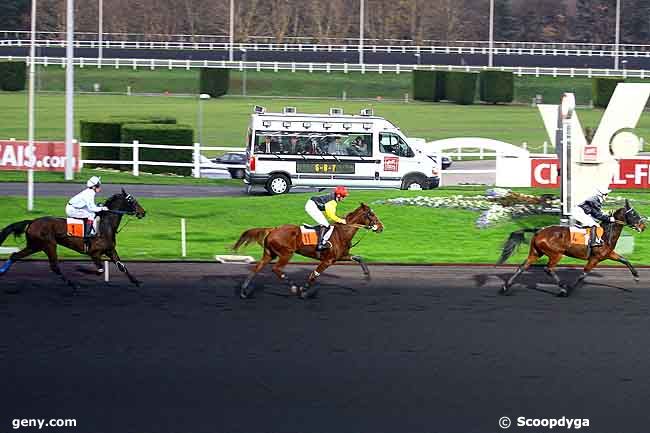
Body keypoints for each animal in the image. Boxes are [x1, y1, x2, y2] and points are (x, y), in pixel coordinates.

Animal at [0, 189, 146, 290]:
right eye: (132, 201)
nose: (143, 212)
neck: (105, 225)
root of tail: (32, 222)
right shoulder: (94, 253)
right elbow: (100, 270)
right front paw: (83, 270)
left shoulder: (110, 250)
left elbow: (122, 267)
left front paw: (136, 281)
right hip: (49, 245)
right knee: (54, 266)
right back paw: (72, 284)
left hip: (35, 246)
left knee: (14, 255)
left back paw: (2, 271)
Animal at [232, 202, 380, 296]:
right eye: (371, 215)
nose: (381, 227)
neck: (342, 233)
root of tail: (273, 229)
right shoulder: (328, 260)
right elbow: (314, 274)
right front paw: (304, 290)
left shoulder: (340, 256)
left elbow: (359, 258)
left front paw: (367, 275)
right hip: (286, 254)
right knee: (276, 269)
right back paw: (293, 287)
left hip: (270, 254)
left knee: (257, 268)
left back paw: (244, 291)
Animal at [496, 200, 644, 296]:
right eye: (634, 214)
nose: (643, 226)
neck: (606, 233)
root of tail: (539, 230)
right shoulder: (595, 258)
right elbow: (583, 275)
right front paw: (570, 289)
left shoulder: (608, 254)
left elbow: (625, 260)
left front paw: (637, 277)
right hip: (556, 254)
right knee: (548, 269)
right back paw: (562, 289)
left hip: (536, 252)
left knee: (523, 267)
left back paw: (505, 287)